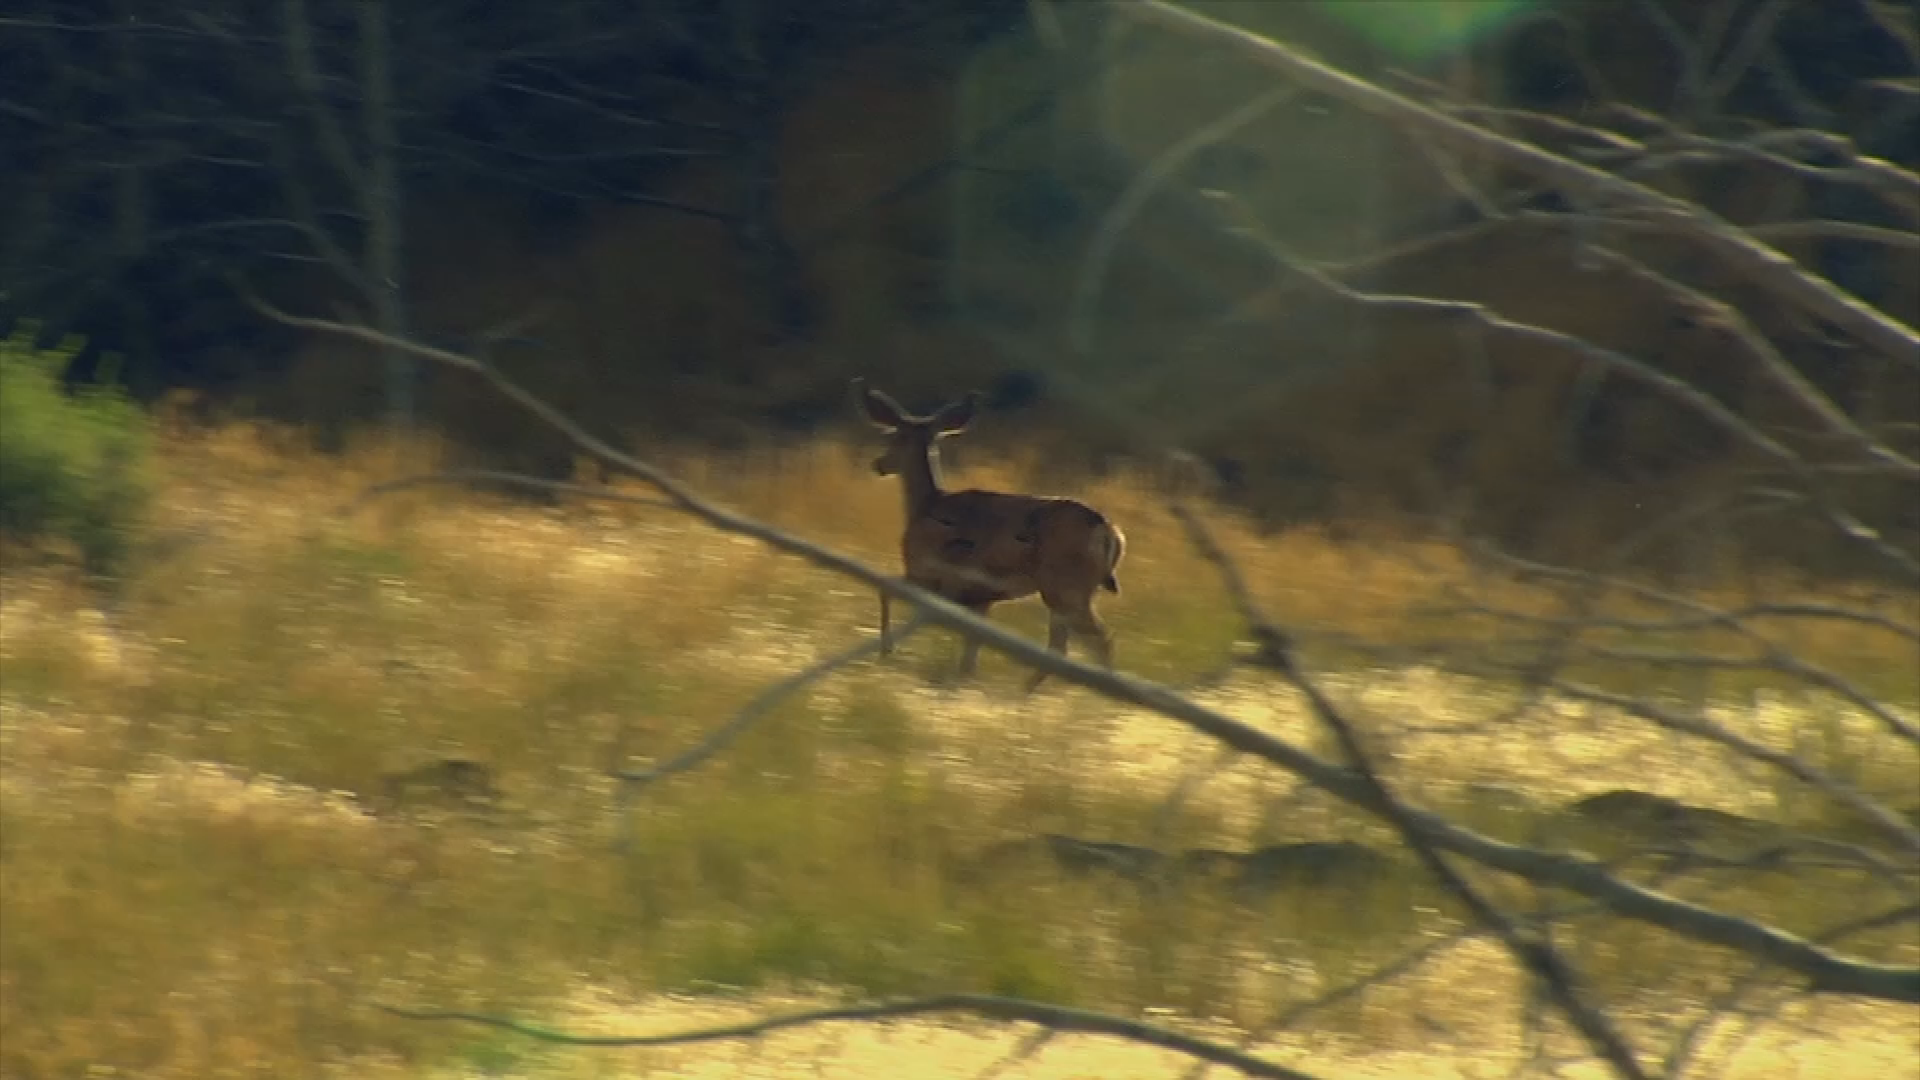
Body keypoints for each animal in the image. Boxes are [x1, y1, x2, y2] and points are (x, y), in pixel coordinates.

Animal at [852, 379, 1125, 692]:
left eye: (893, 436)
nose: (878, 464)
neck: (925, 506)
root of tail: (1107, 531)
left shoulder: (925, 572)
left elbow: (885, 589)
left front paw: (887, 652)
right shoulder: (978, 598)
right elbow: (972, 650)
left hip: (1065, 586)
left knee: (1096, 639)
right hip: (1073, 590)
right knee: (1064, 646)